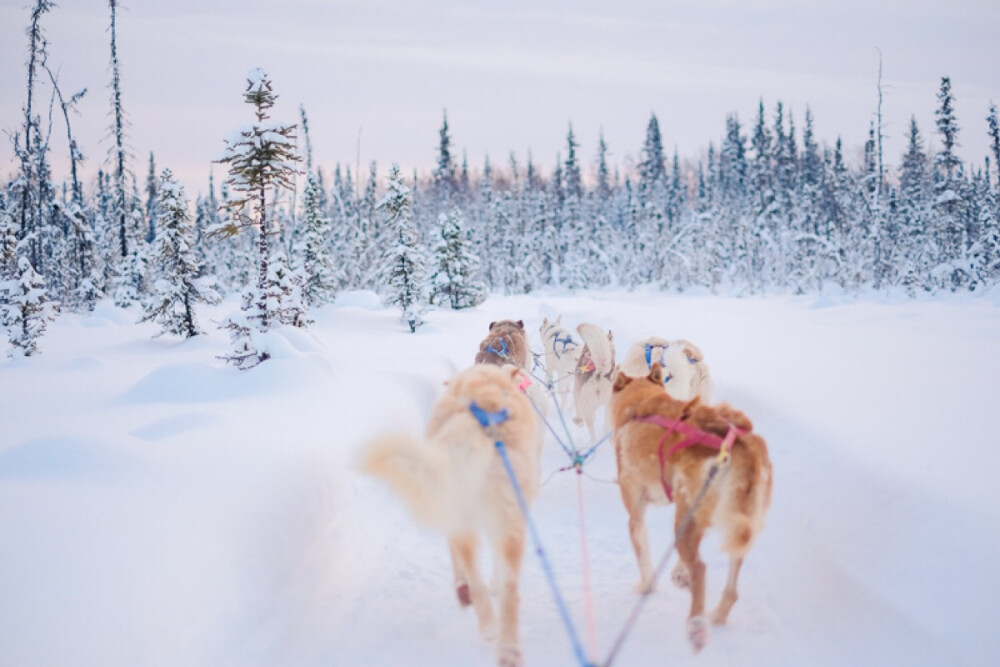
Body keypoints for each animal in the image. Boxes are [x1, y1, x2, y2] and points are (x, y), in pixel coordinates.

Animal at [364, 366, 544, 667]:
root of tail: (484, 418)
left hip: (473, 515)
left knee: (475, 576)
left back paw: (487, 623)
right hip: (508, 520)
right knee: (508, 588)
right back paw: (507, 647)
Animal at [608, 366, 772, 652]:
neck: (639, 400)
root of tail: (734, 442)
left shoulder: (636, 514)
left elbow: (643, 553)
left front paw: (647, 585)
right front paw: (678, 574)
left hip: (686, 515)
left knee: (700, 568)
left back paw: (695, 624)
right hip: (731, 524)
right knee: (730, 586)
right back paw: (715, 615)